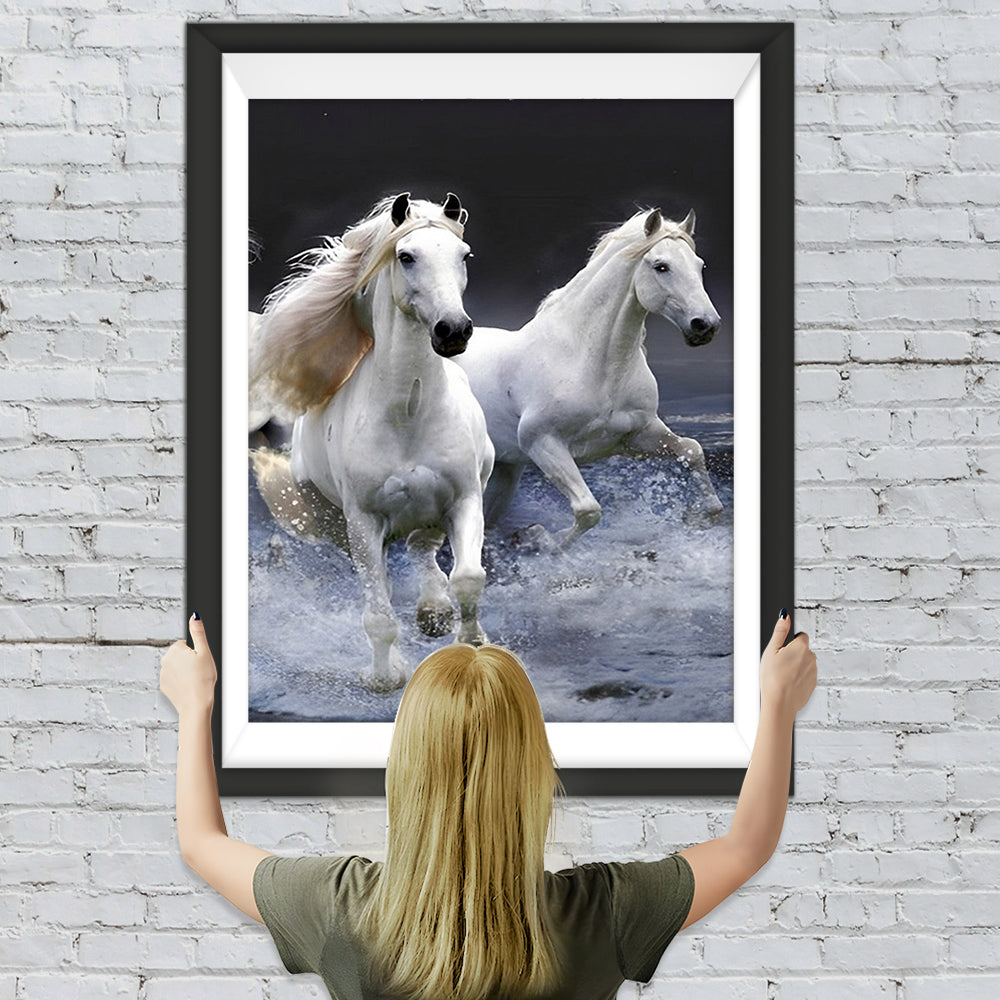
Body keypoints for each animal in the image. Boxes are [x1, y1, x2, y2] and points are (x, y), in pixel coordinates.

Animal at [249, 193, 494, 692]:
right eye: (406, 256)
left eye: (464, 256)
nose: (453, 330)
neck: (410, 414)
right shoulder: (362, 522)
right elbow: (379, 613)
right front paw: (386, 677)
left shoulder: (465, 498)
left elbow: (468, 578)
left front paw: (472, 644)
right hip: (338, 524)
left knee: (423, 548)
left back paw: (434, 611)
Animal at [453, 207, 724, 551]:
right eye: (661, 266)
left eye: (700, 265)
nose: (705, 325)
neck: (592, 363)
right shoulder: (543, 443)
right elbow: (588, 510)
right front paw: (540, 539)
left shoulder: (636, 436)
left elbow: (692, 450)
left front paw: (698, 516)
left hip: (505, 469)